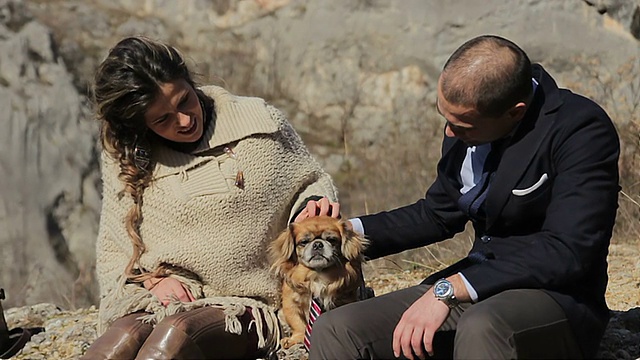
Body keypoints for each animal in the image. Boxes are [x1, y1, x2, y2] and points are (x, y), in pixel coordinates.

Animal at [270, 215, 370, 350]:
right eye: (304, 242)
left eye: (332, 240)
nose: (317, 244)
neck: (317, 274)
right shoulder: (291, 304)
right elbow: (298, 323)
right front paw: (297, 339)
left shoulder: (344, 300)